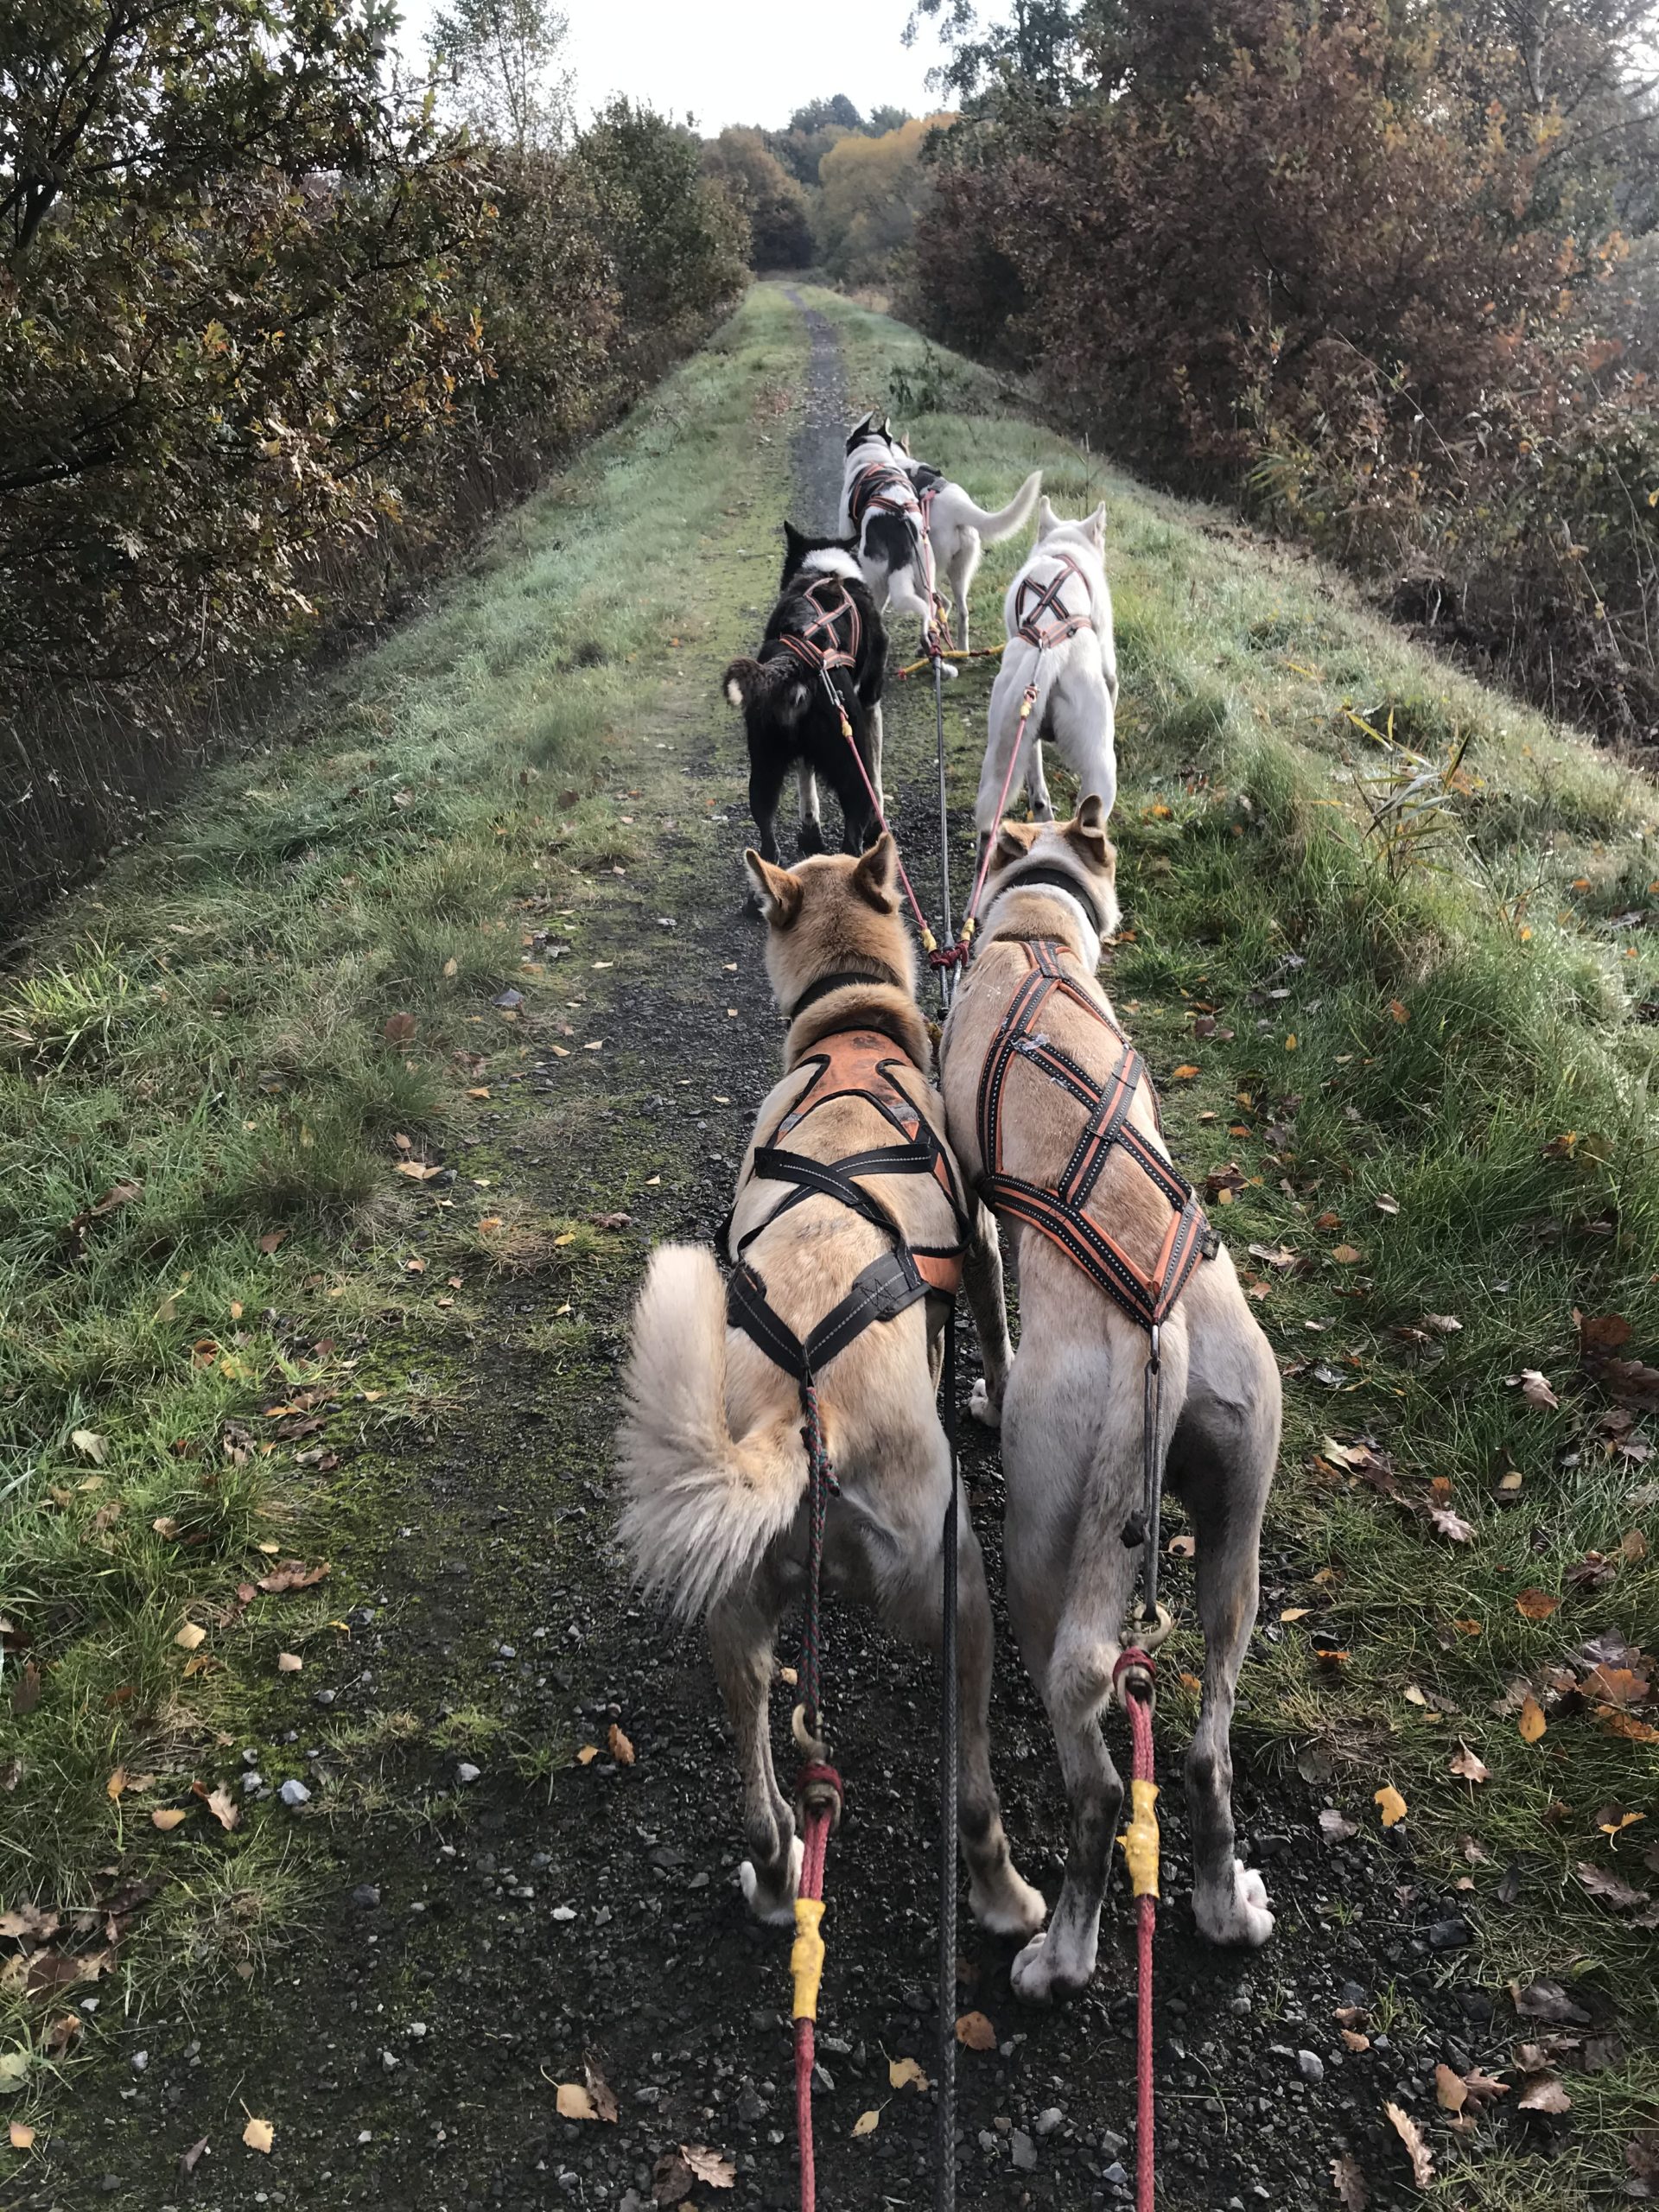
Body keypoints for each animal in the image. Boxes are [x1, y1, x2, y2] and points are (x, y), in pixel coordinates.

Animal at [619, 836, 1044, 1946]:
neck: (850, 1031)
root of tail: (801, 1421)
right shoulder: (983, 1243)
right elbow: (998, 1332)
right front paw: (996, 1394)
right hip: (958, 1594)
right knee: (973, 1800)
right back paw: (1007, 1900)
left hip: (736, 1621)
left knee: (763, 1801)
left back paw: (774, 1877)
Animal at [721, 526, 889, 880]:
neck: (826, 571)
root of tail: (795, 660)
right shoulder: (870, 703)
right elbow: (877, 780)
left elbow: (805, 780)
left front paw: (810, 833)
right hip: (851, 756)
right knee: (853, 828)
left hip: (764, 766)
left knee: (766, 835)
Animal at [942, 804, 1282, 1999]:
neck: (1036, 934)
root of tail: (1159, 1337)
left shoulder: (973, 1217)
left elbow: (988, 1318)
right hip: (1238, 1533)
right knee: (1205, 1750)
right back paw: (1226, 1905)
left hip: (1045, 1555)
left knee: (1095, 1789)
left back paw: (1064, 1952)